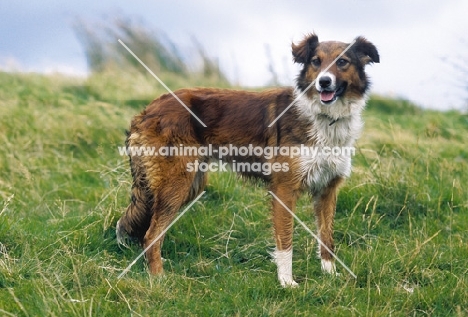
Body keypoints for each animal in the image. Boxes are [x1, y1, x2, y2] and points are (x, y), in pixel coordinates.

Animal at [115, 33, 378, 286]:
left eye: (342, 62)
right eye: (316, 61)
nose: (323, 81)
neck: (325, 119)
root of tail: (148, 110)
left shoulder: (327, 190)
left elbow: (326, 238)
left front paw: (331, 275)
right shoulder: (283, 190)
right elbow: (286, 241)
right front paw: (287, 283)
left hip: (191, 184)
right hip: (177, 183)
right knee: (151, 234)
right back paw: (158, 278)